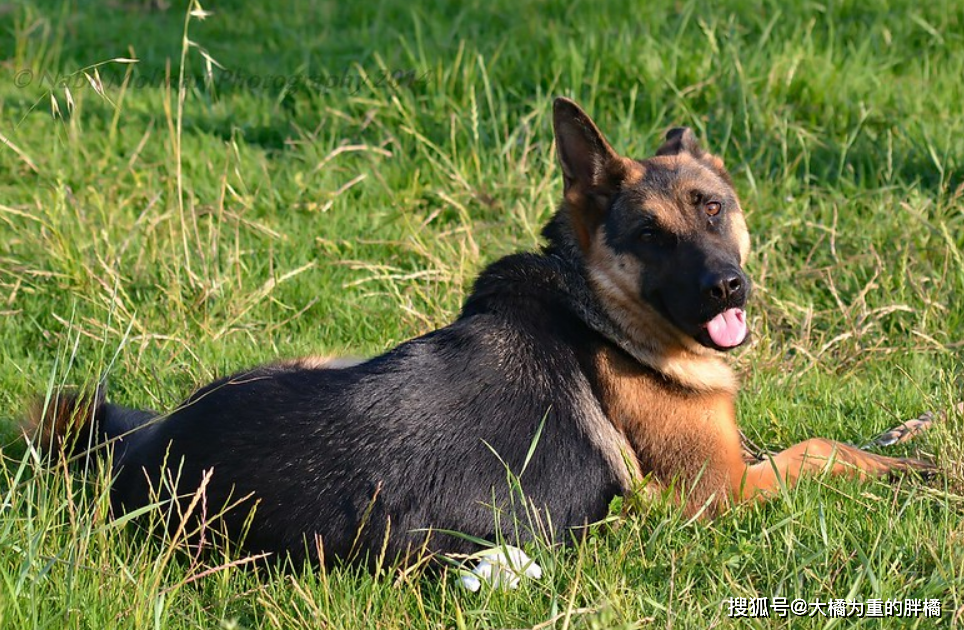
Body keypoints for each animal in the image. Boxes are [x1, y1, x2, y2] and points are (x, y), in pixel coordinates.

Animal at [28, 97, 932, 568]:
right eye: (650, 236)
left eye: (712, 208)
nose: (727, 286)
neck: (597, 312)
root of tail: (140, 460)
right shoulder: (722, 494)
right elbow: (819, 450)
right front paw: (910, 468)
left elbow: (815, 439)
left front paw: (909, 431)